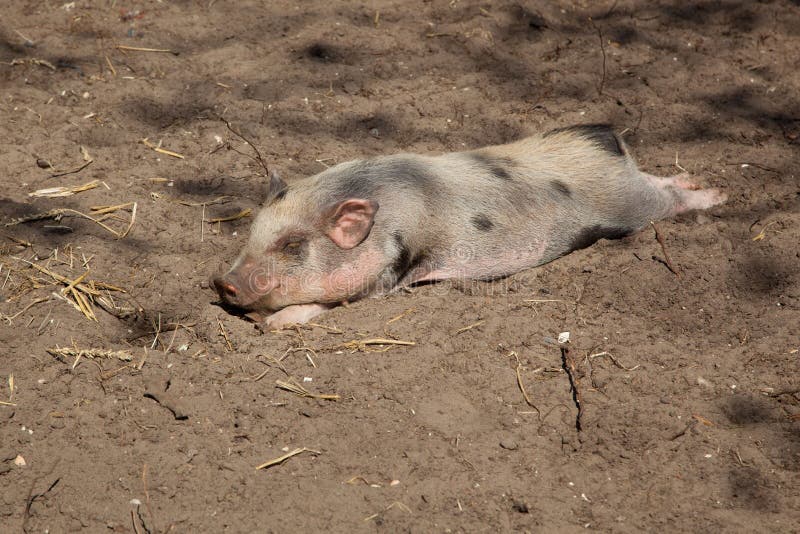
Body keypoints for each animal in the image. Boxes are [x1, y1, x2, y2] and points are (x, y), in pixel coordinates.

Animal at [212, 125, 724, 328]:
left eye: (293, 244)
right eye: (252, 231)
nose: (223, 282)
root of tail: (604, 138)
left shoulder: (391, 271)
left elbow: (330, 303)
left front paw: (269, 324)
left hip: (634, 208)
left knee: (670, 199)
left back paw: (720, 196)